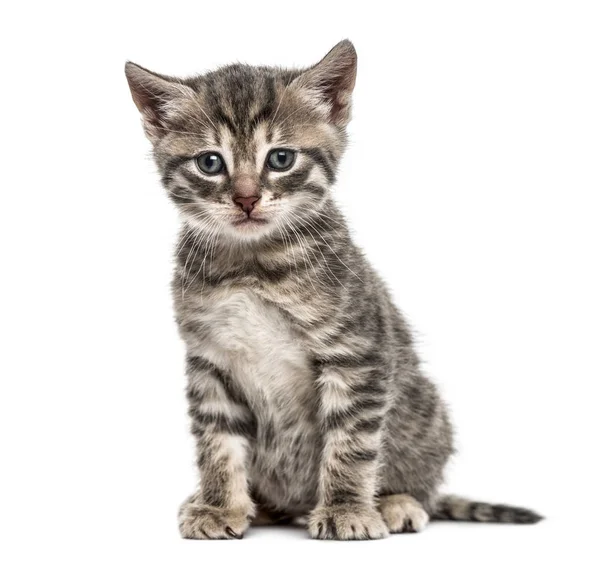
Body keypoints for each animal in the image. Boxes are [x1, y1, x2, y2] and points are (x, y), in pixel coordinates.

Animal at [124, 40, 540, 540]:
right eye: (210, 163)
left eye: (280, 158)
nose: (246, 199)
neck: (251, 265)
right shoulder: (210, 361)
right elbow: (217, 443)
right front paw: (220, 506)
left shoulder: (357, 352)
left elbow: (351, 441)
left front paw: (345, 508)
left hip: (425, 411)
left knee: (422, 483)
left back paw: (397, 502)